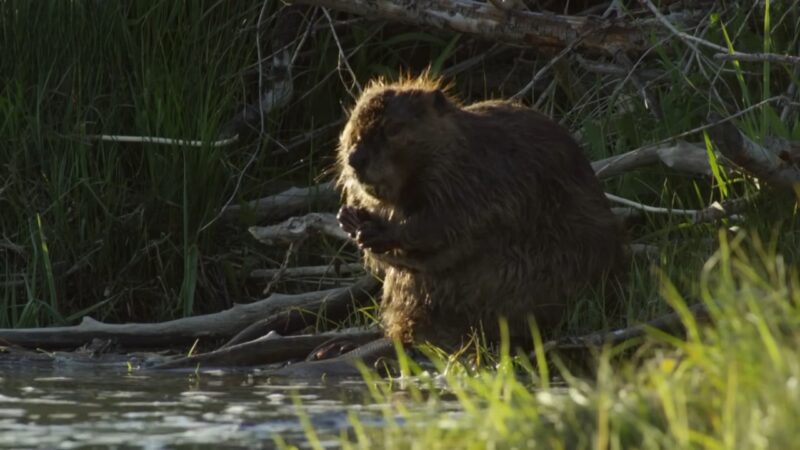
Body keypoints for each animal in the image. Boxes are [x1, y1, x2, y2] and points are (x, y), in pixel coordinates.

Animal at [332, 75, 624, 348]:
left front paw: (375, 231)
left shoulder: (479, 180)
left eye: (393, 128)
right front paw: (348, 217)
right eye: (351, 125)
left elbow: (444, 226)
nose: (355, 159)